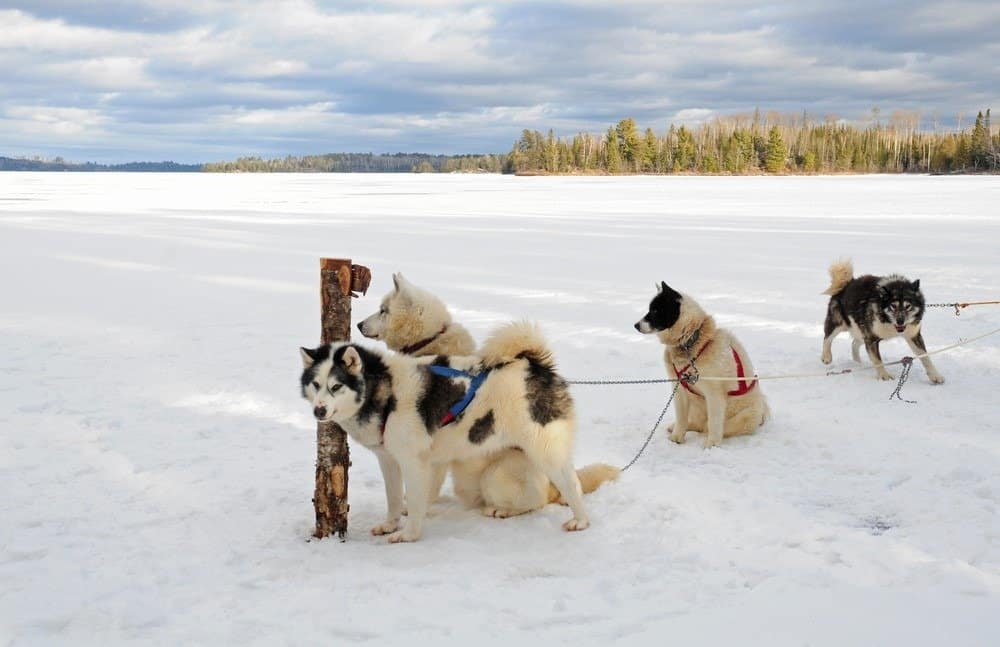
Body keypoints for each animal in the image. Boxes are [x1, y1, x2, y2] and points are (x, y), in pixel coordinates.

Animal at [636, 280, 768, 448]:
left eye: (655, 310)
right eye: (651, 309)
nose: (636, 325)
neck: (690, 342)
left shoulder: (714, 394)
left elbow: (714, 423)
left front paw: (711, 446)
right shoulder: (679, 389)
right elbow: (681, 417)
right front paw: (676, 438)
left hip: (744, 416)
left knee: (709, 426)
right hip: (695, 402)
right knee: (697, 423)